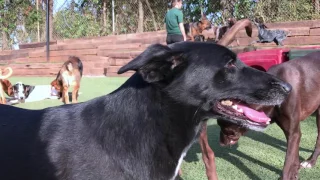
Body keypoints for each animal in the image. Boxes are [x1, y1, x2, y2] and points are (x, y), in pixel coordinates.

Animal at [201, 51, 320, 180]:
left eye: (226, 128)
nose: (221, 144)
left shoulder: (294, 134)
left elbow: (288, 163)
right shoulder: (293, 135)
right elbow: (294, 159)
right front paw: (295, 173)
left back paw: (311, 161)